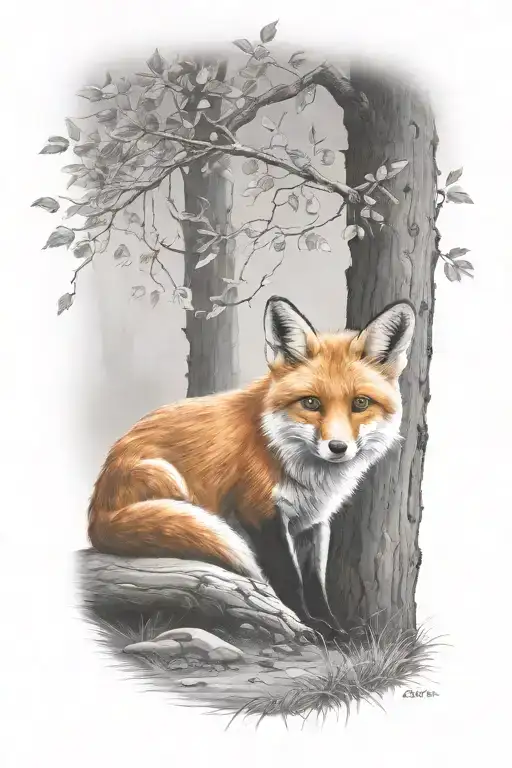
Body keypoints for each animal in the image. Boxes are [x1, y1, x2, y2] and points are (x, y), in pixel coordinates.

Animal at [88, 295, 415, 637]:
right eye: (311, 403)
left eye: (360, 403)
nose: (338, 448)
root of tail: (97, 516)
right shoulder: (258, 512)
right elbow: (290, 579)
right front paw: (308, 625)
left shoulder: (312, 523)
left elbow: (315, 583)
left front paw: (333, 629)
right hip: (166, 477)